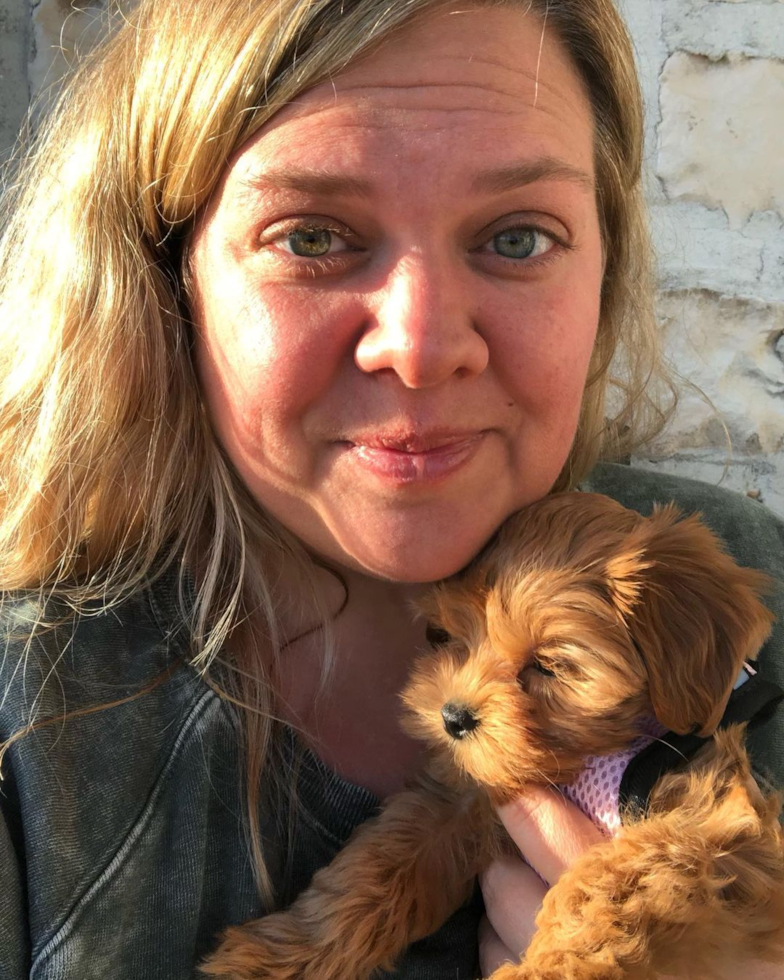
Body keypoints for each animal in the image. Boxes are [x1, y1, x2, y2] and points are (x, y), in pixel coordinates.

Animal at [204, 498, 784, 980]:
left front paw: (543, 970)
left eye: (548, 665)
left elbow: (608, 888)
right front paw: (283, 952)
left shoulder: (714, 826)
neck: (588, 761)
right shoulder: (464, 798)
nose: (453, 717)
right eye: (442, 636)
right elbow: (379, 866)